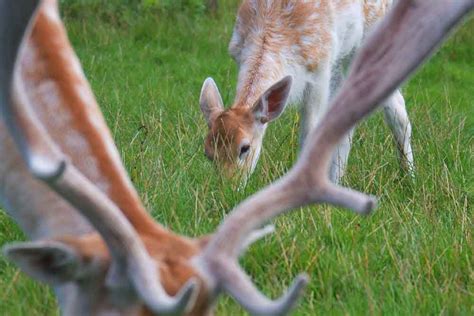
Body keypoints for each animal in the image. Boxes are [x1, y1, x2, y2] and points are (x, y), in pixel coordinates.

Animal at [200, 0, 414, 183]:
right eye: (207, 152)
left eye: (244, 148)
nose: (229, 187)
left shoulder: (319, 69)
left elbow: (310, 132)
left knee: (396, 107)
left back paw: (409, 178)